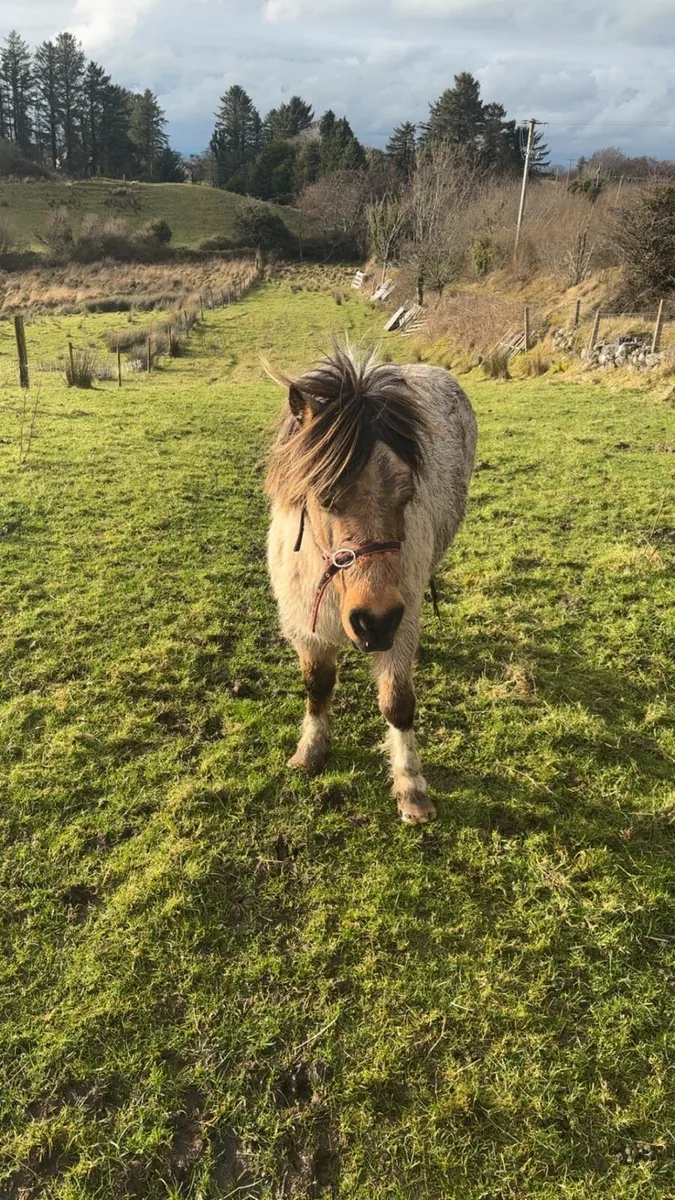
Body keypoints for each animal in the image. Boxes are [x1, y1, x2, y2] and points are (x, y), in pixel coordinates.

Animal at [266, 345, 477, 823]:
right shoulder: (307, 633)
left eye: (407, 494)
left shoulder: (398, 631)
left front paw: (411, 788)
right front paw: (311, 751)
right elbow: (317, 686)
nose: (375, 621)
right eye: (325, 496)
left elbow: (397, 704)